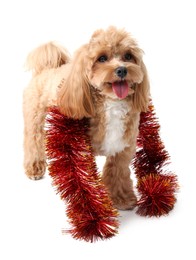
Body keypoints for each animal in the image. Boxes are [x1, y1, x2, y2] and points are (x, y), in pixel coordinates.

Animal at [23, 25, 149, 209]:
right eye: (102, 58)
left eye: (128, 56)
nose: (122, 69)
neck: (111, 103)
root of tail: (46, 68)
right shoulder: (80, 148)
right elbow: (84, 177)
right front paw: (91, 204)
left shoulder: (123, 147)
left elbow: (118, 172)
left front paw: (122, 198)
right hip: (34, 115)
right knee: (33, 140)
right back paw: (34, 167)